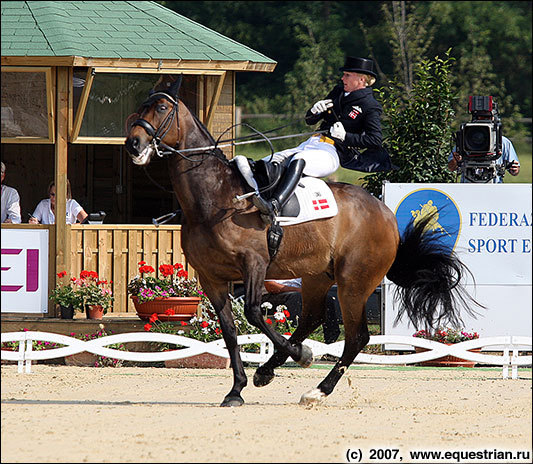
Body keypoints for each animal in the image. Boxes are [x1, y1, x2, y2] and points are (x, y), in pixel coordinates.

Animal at [125, 80, 478, 406]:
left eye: (161, 108)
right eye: (141, 106)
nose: (133, 143)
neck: (213, 197)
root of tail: (387, 215)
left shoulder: (254, 264)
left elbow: (254, 312)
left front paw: (303, 356)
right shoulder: (210, 276)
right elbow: (229, 330)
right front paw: (237, 390)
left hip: (353, 282)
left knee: (356, 337)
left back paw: (317, 389)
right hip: (316, 276)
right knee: (312, 318)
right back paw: (268, 370)